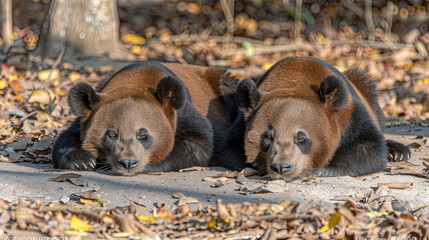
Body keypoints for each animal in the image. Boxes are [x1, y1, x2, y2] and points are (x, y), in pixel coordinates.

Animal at [52, 62, 237, 175]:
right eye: (111, 134)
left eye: (143, 134)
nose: (128, 163)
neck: (136, 80)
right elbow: (68, 135)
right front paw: (81, 160)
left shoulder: (180, 111)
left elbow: (200, 142)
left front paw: (151, 163)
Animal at [222, 56, 410, 180]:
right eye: (268, 137)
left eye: (301, 138)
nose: (282, 167)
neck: (294, 79)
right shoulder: (243, 119)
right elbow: (230, 148)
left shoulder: (350, 115)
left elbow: (371, 148)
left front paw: (324, 168)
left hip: (365, 92)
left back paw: (397, 151)